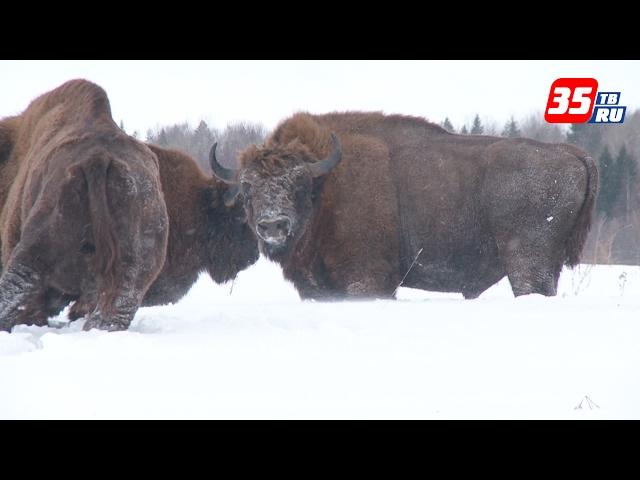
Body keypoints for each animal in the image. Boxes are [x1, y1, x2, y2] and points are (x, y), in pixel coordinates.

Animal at [212, 112, 596, 300]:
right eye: (247, 187)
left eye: (299, 182)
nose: (272, 225)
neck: (327, 186)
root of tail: (571, 153)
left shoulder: (367, 280)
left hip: (528, 265)